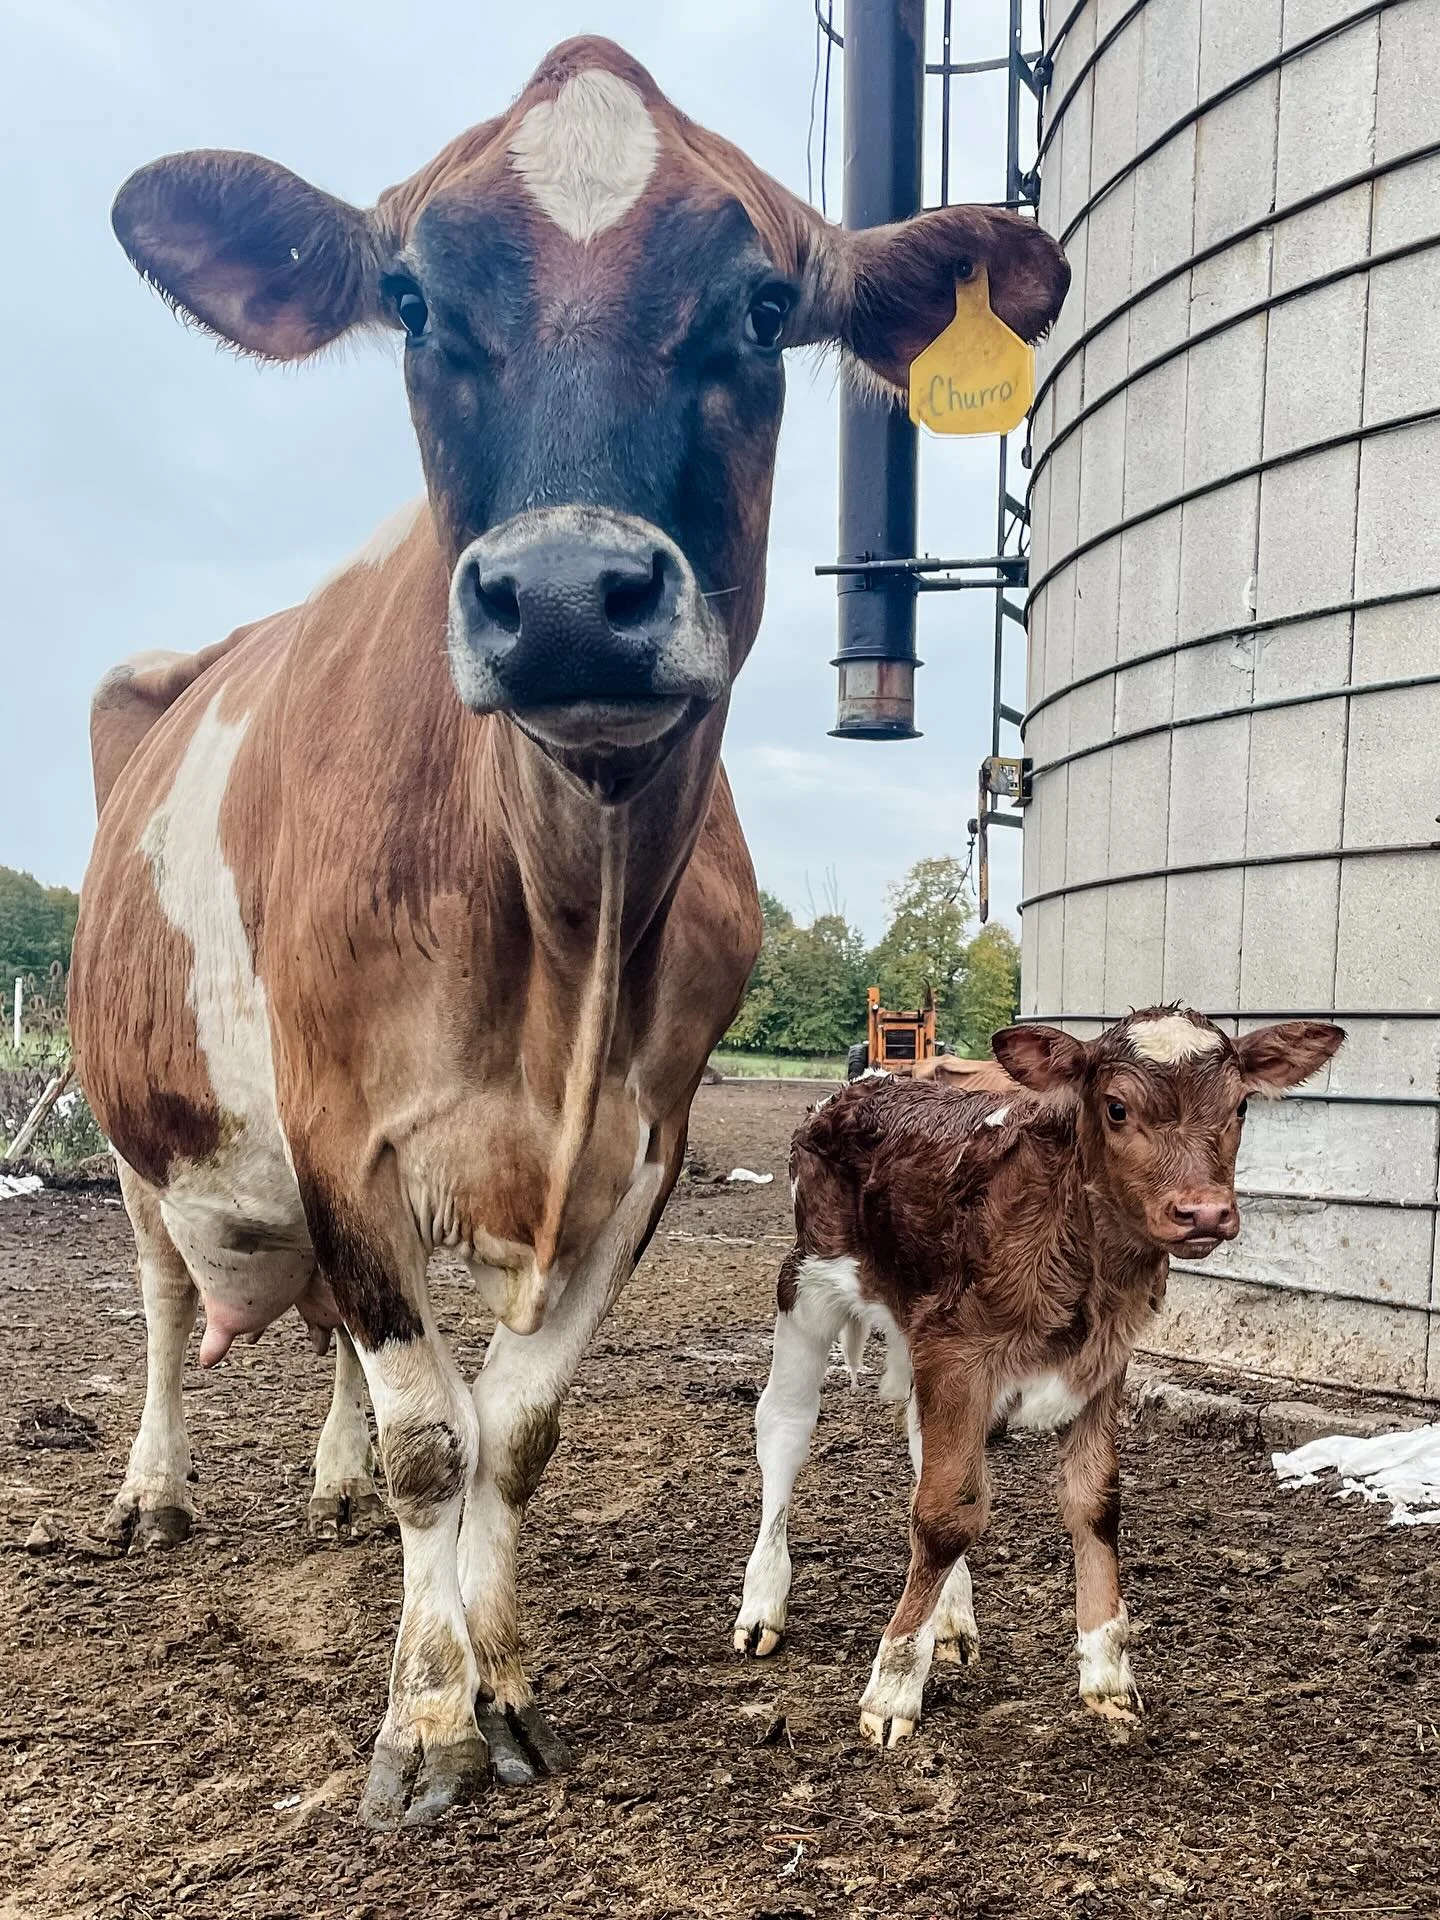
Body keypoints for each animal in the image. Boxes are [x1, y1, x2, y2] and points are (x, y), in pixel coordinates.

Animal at [68, 37, 1069, 1828]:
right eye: (408, 298)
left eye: (762, 304)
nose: (559, 597)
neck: (563, 921)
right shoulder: (338, 1123)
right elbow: (435, 1439)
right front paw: (427, 1720)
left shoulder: (644, 1142)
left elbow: (514, 1432)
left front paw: (507, 1681)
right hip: (138, 1128)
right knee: (177, 1310)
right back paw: (158, 1494)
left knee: (322, 1335)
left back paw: (324, 1489)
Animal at [733, 1007, 1344, 1746]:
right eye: (1116, 1107)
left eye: (1240, 1107)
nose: (1203, 1212)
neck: (1082, 1256)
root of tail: (866, 1083)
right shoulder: (958, 1352)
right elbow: (945, 1516)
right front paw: (893, 1687)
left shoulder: (1099, 1365)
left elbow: (1092, 1504)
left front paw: (1107, 1675)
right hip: (806, 1285)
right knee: (786, 1428)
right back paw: (763, 1605)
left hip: (914, 1330)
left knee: (923, 1448)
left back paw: (950, 1619)